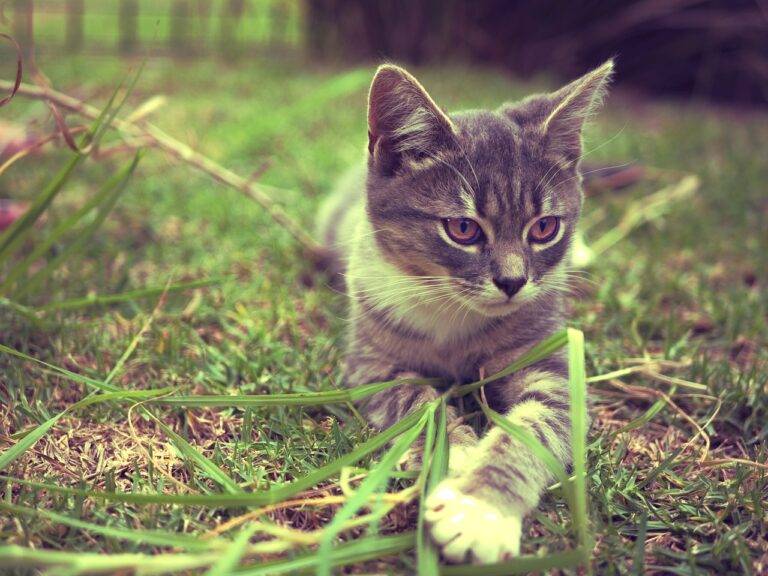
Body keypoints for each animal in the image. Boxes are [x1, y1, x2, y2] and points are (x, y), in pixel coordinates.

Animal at [316, 62, 612, 564]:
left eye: (545, 228)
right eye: (462, 228)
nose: (512, 282)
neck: (457, 316)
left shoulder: (551, 360)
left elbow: (537, 425)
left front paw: (480, 508)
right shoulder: (371, 363)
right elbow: (418, 404)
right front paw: (457, 456)